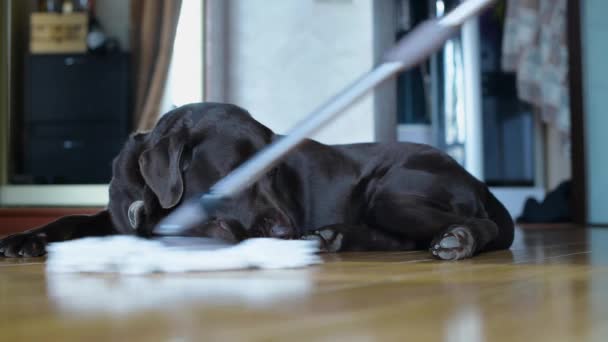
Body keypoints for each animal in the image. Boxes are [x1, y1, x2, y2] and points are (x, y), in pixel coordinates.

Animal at [0, 103, 512, 260]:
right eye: (235, 173)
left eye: (275, 172)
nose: (286, 230)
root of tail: (476, 179)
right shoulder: (114, 215)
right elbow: (71, 219)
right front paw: (24, 239)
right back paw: (332, 236)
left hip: (389, 191)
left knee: (474, 228)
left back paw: (459, 239)